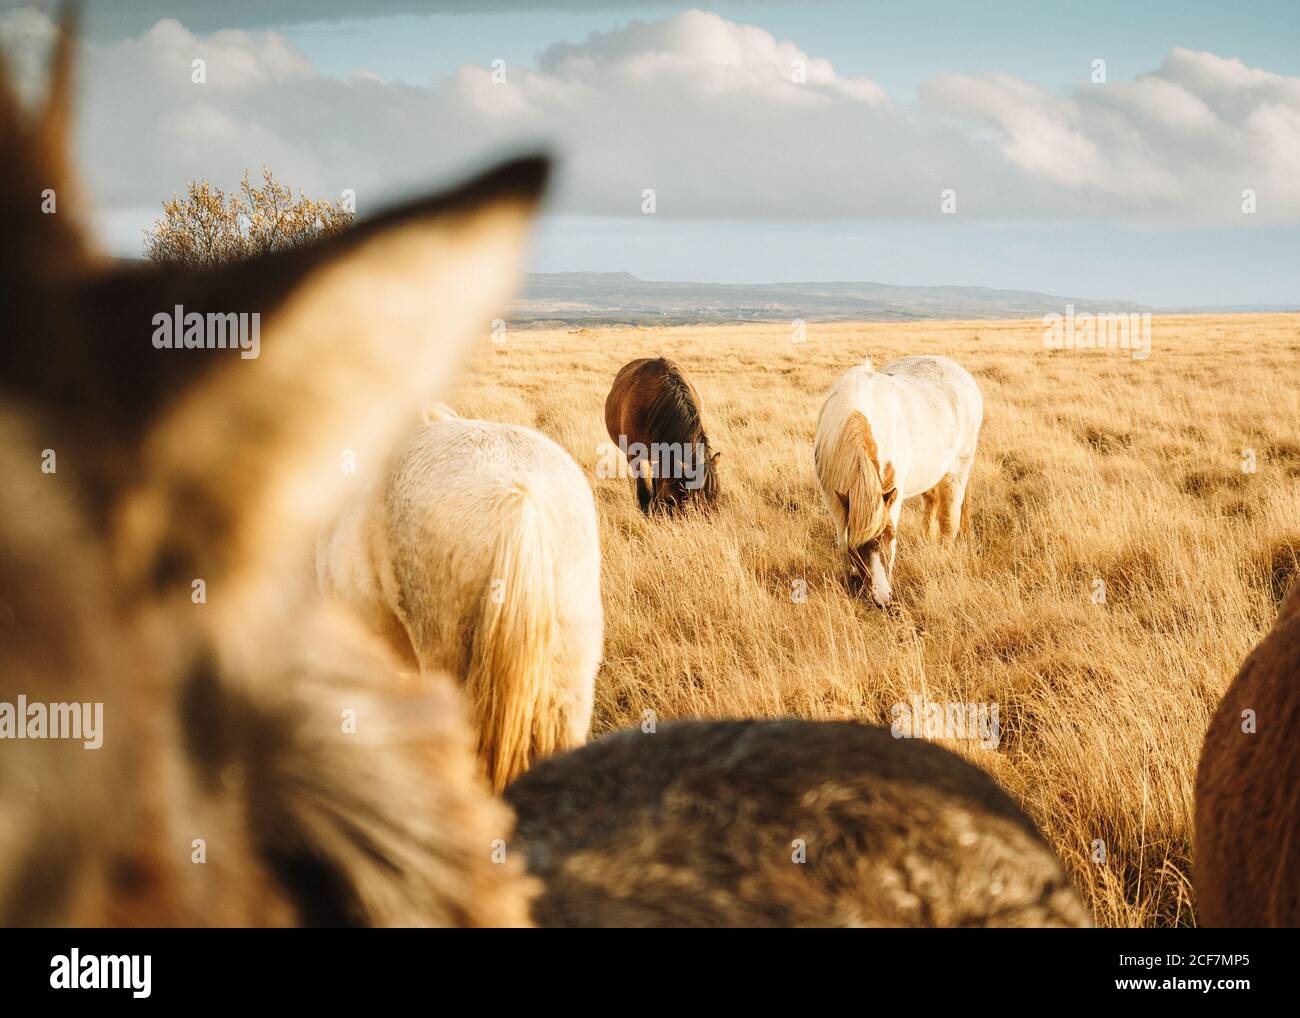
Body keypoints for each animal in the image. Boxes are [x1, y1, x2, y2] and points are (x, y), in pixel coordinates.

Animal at [813, 355, 983, 607]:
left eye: (891, 536)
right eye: (857, 546)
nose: (883, 598)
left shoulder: (893, 496)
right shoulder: (834, 499)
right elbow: (842, 541)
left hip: (958, 469)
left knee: (949, 521)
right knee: (932, 502)